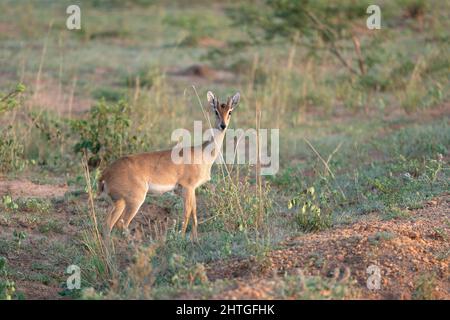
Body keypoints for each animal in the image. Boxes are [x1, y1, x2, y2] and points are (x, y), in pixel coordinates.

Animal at [98, 90, 239, 240]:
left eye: (230, 111)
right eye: (216, 111)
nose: (223, 125)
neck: (202, 153)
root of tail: (105, 175)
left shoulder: (192, 189)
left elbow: (194, 212)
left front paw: (195, 238)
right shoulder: (187, 187)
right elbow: (187, 212)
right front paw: (182, 237)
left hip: (117, 203)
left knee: (107, 225)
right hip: (134, 201)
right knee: (121, 223)